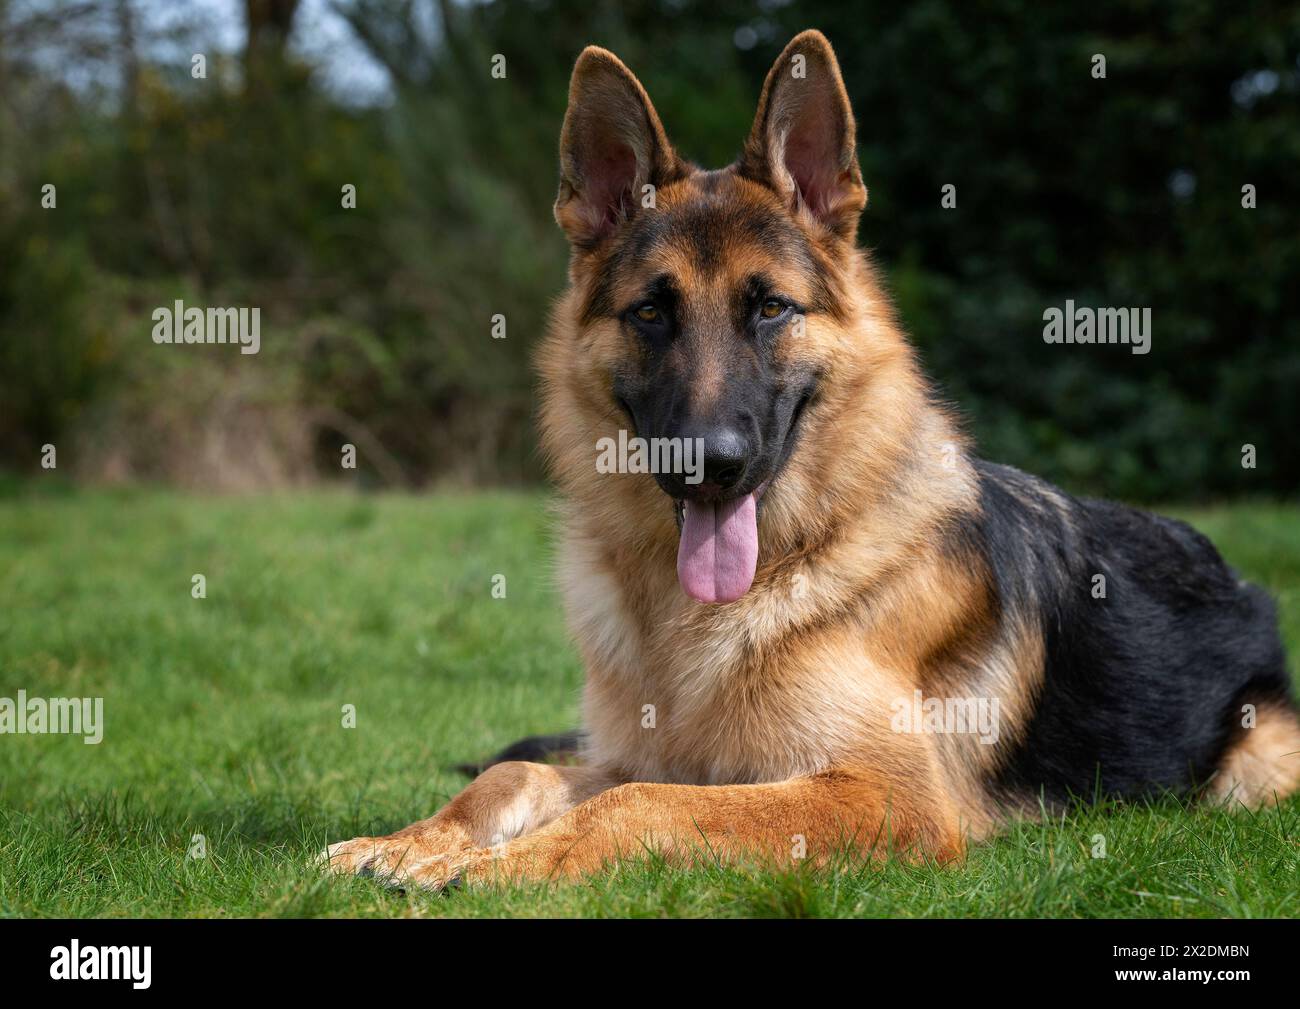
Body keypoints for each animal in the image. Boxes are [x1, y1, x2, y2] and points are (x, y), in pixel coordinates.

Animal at [325, 29, 1300, 884]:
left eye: (770, 309)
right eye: (651, 312)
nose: (709, 462)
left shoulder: (885, 794)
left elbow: (636, 802)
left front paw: (508, 864)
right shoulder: (651, 753)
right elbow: (515, 773)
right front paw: (417, 840)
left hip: (1254, 772)